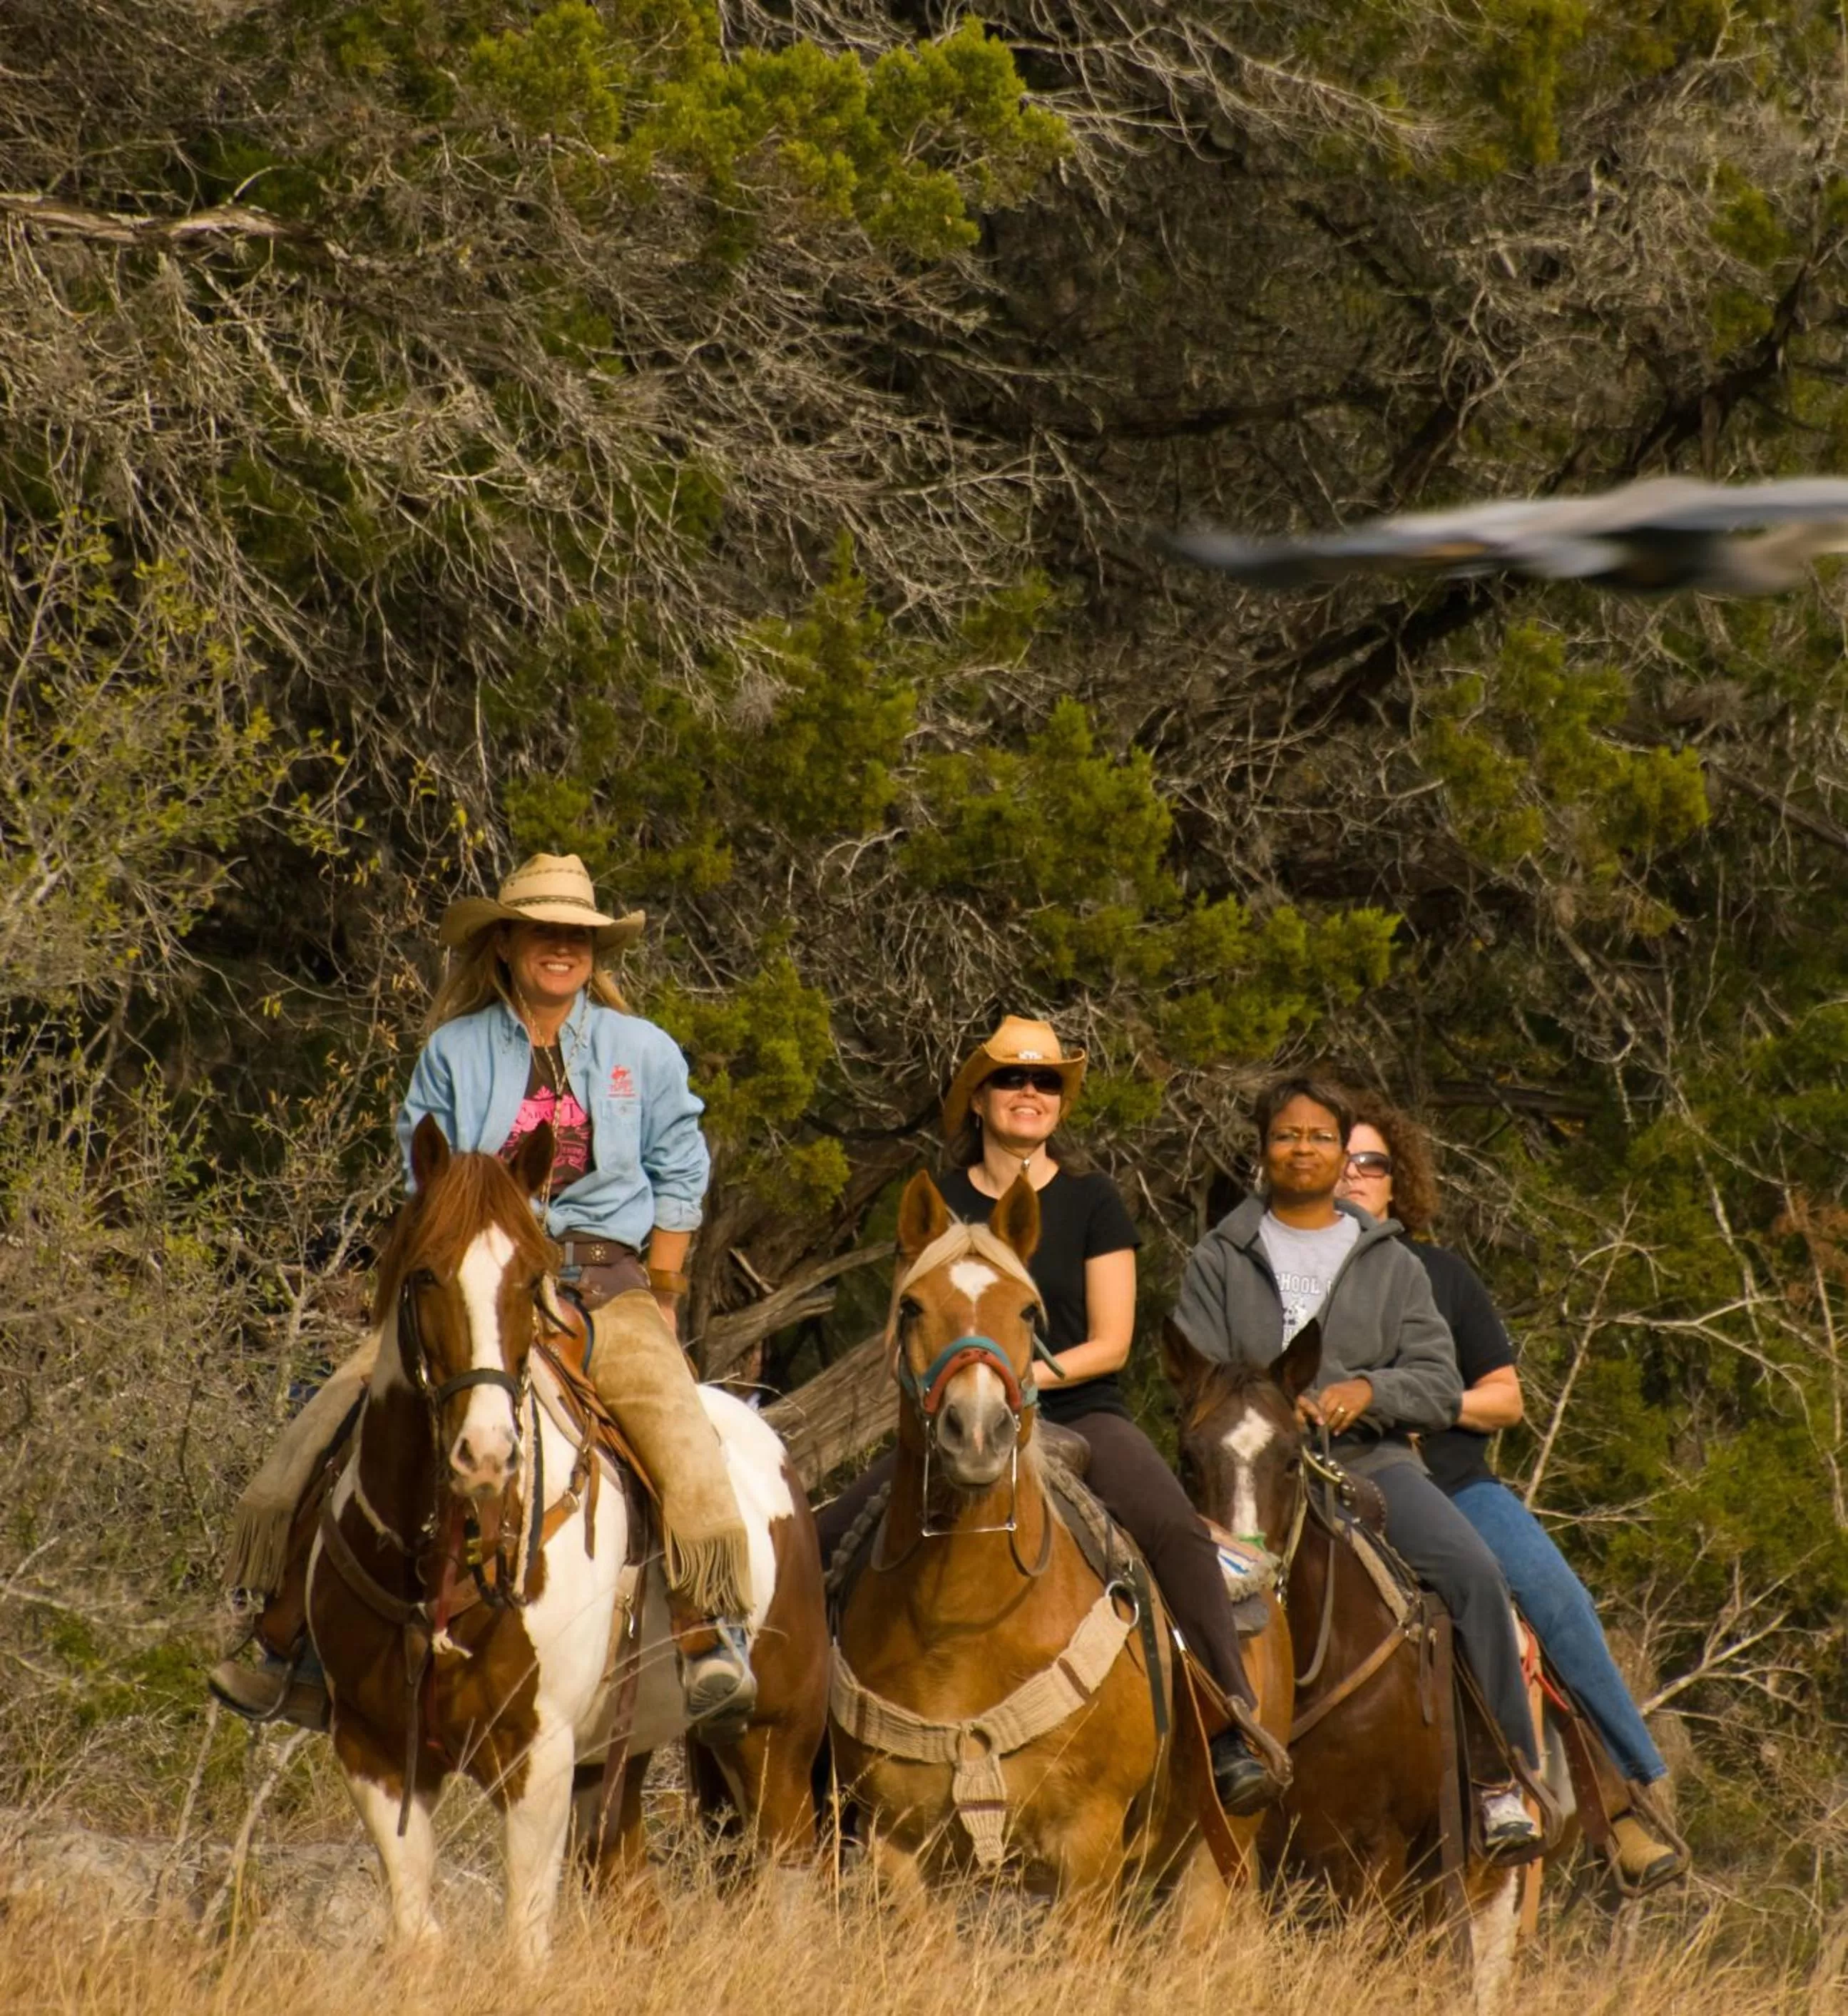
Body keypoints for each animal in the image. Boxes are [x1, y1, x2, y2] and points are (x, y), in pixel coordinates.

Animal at [305, 1117, 828, 1965]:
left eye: (529, 1282)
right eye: (424, 1274)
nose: (487, 1453)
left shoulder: (536, 1755)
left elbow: (523, 1946)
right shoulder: (374, 1748)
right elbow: (418, 1935)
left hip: (776, 1745)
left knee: (786, 1887)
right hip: (615, 1761)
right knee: (634, 1893)